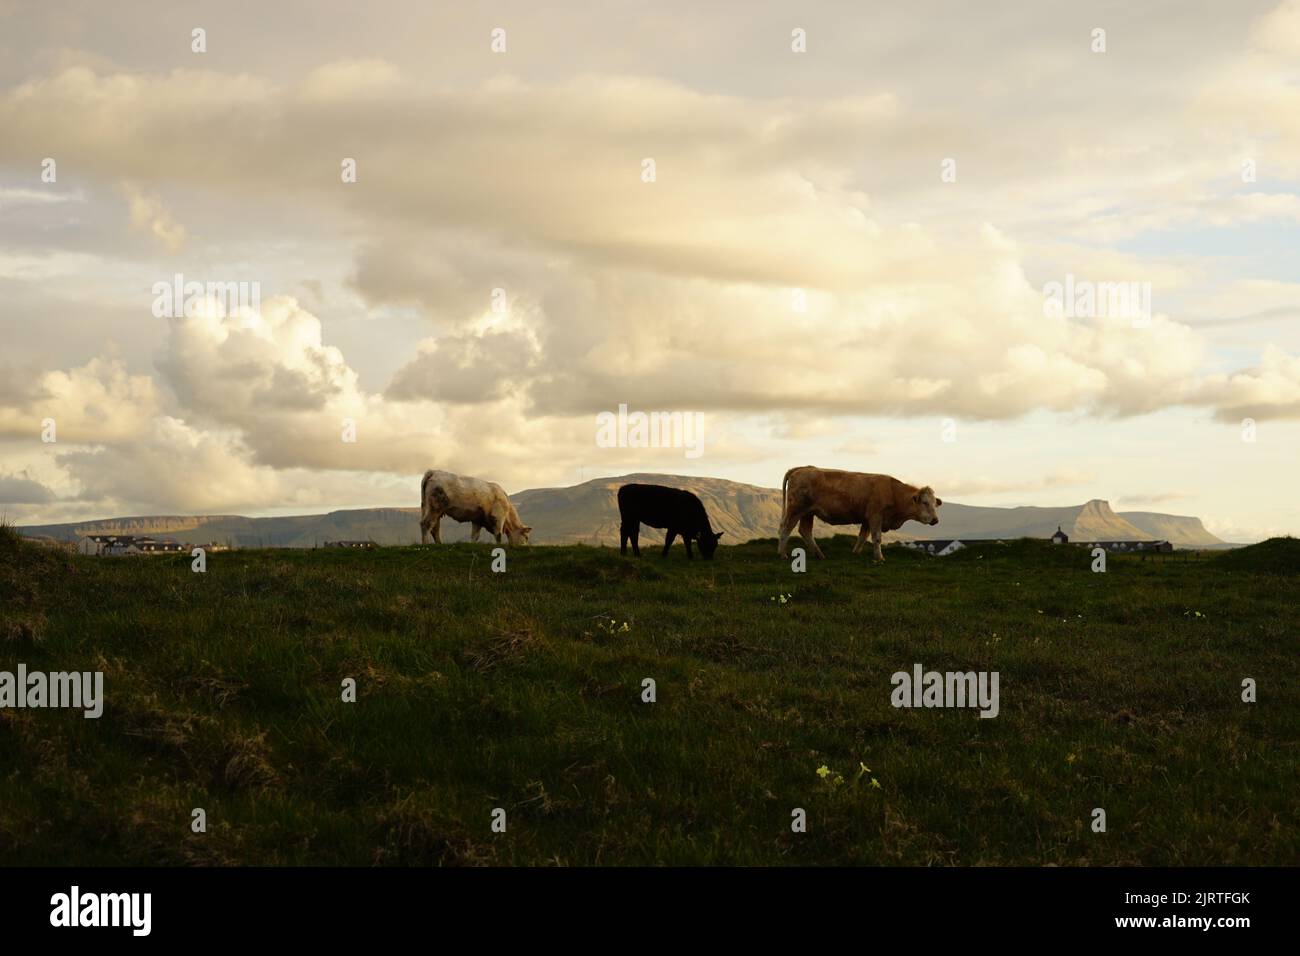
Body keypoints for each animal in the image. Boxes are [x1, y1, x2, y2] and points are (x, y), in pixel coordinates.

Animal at [777, 466, 941, 563]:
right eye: (925, 502)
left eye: (935, 503)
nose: (935, 520)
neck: (893, 492)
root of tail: (803, 468)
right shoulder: (876, 517)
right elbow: (877, 538)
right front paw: (880, 558)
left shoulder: (867, 520)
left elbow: (862, 537)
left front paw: (855, 553)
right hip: (795, 510)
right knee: (786, 529)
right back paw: (783, 554)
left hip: (808, 513)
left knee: (805, 531)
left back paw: (819, 554)